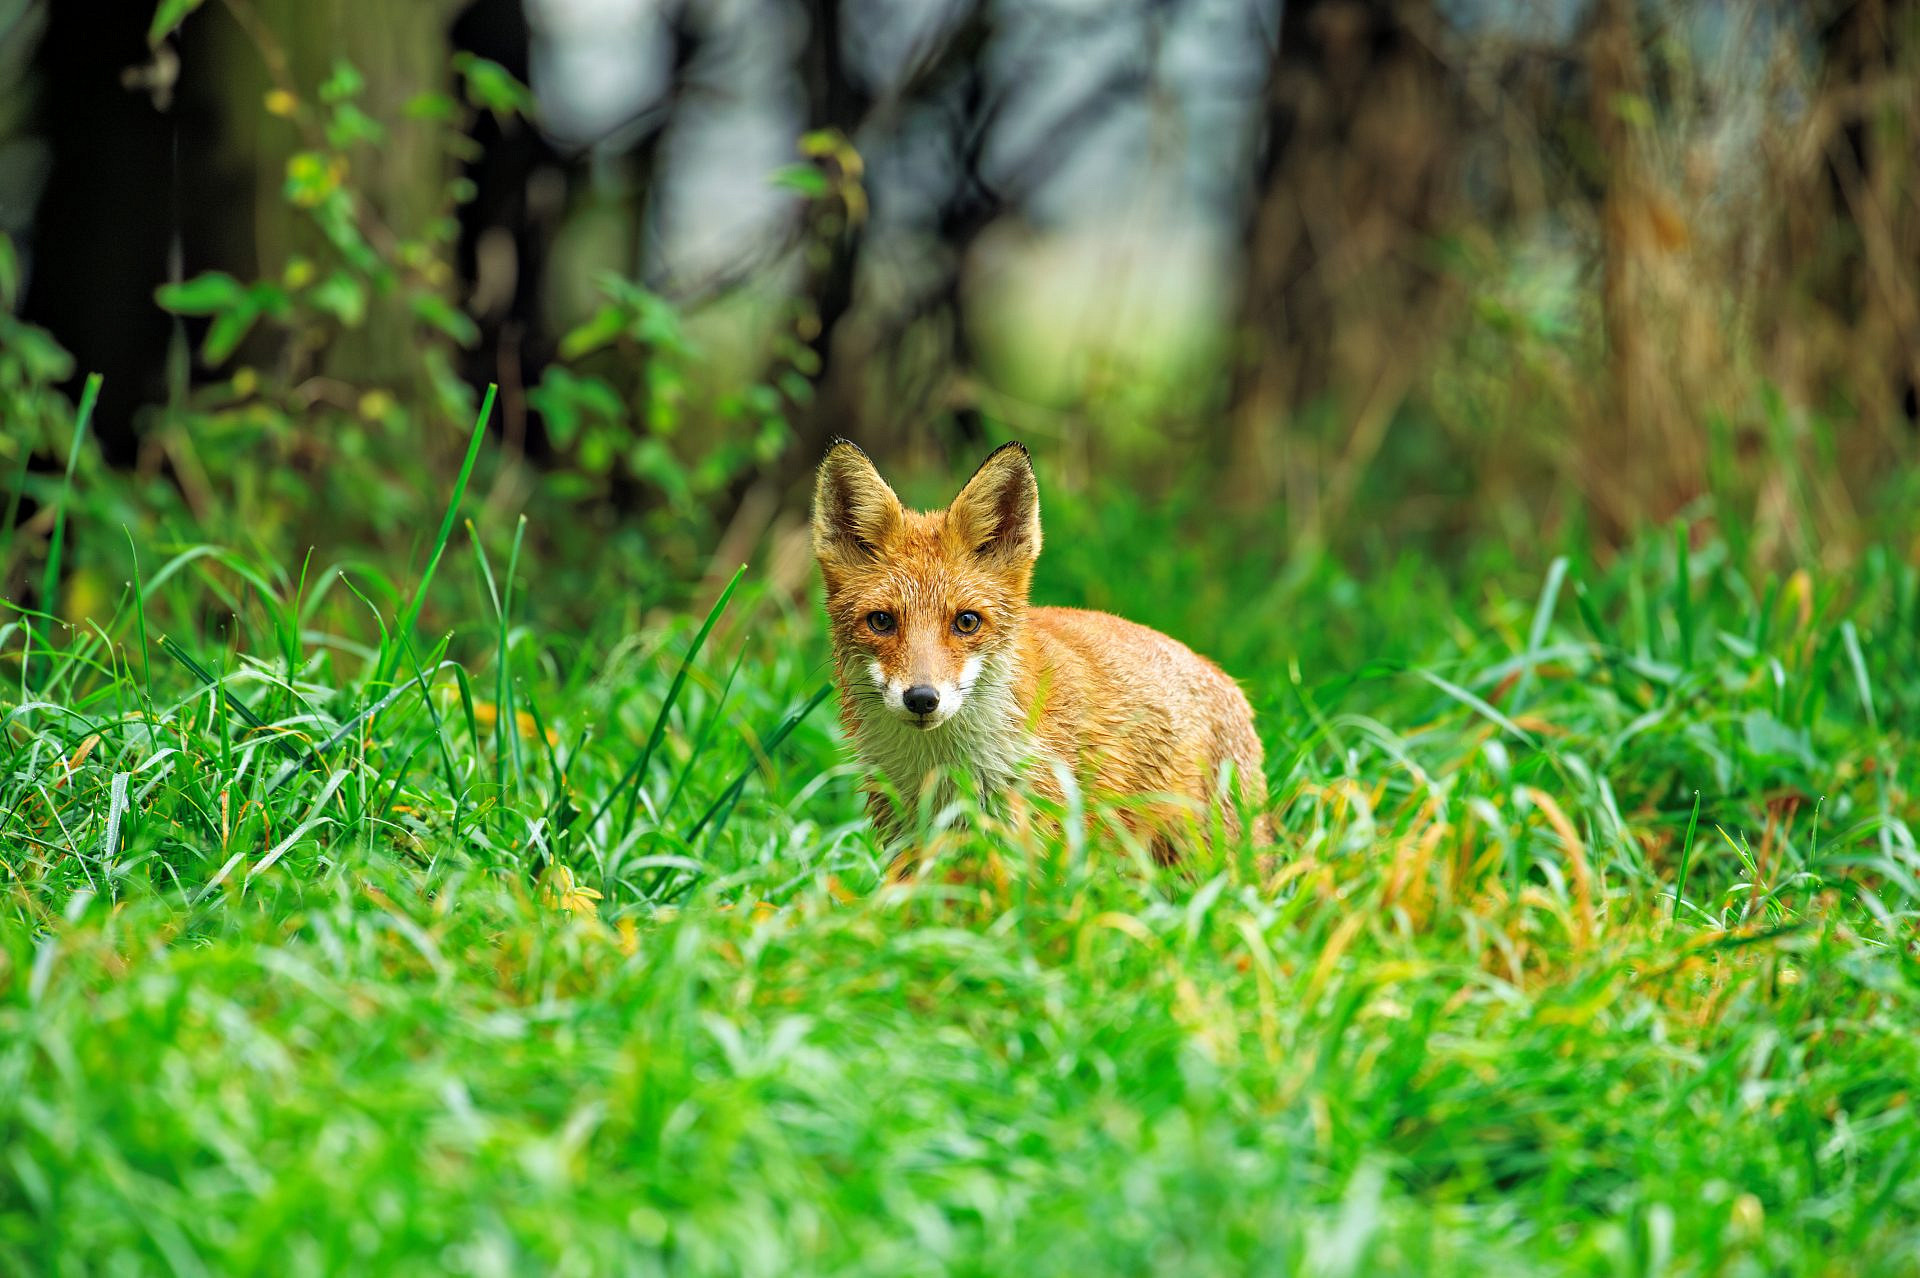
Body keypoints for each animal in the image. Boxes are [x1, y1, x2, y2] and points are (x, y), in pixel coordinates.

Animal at [811, 438, 1266, 867]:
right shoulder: (909, 840)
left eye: (967, 622)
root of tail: (1226, 678)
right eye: (881, 621)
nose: (922, 698)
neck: (945, 769)